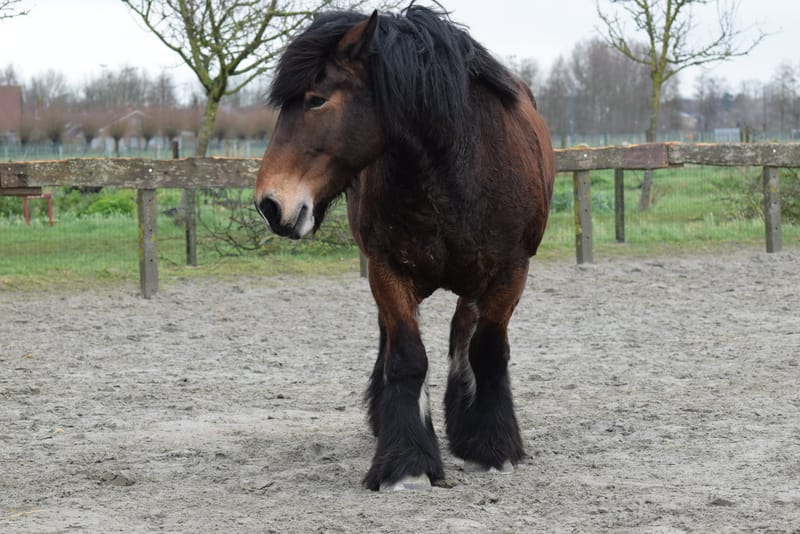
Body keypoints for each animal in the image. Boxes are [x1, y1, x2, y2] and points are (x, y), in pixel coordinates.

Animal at [254, 5, 555, 491]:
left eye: (316, 99)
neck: (455, 171)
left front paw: (493, 447)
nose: (269, 204)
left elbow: (487, 352)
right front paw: (407, 462)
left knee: (462, 333)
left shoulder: (509, 272)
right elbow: (407, 358)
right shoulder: (387, 270)